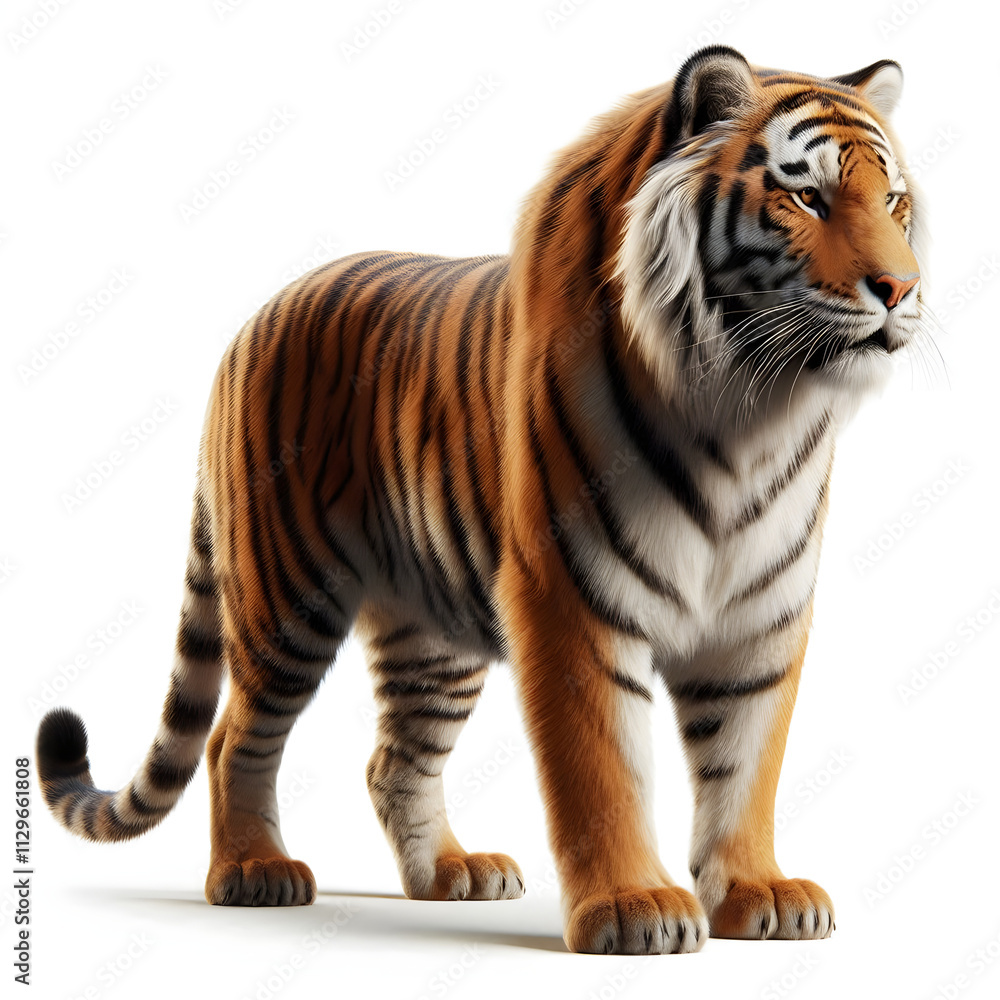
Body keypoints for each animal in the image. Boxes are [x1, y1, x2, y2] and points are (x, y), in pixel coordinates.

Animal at [36, 44, 927, 955]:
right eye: (807, 197)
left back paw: (448, 872)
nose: (901, 288)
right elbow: (602, 769)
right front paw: (634, 907)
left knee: (393, 759)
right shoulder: (573, 599)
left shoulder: (762, 618)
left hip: (432, 637)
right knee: (229, 740)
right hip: (286, 595)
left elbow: (746, 767)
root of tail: (250, 323)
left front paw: (760, 893)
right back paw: (254, 872)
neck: (751, 416)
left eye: (893, 200)